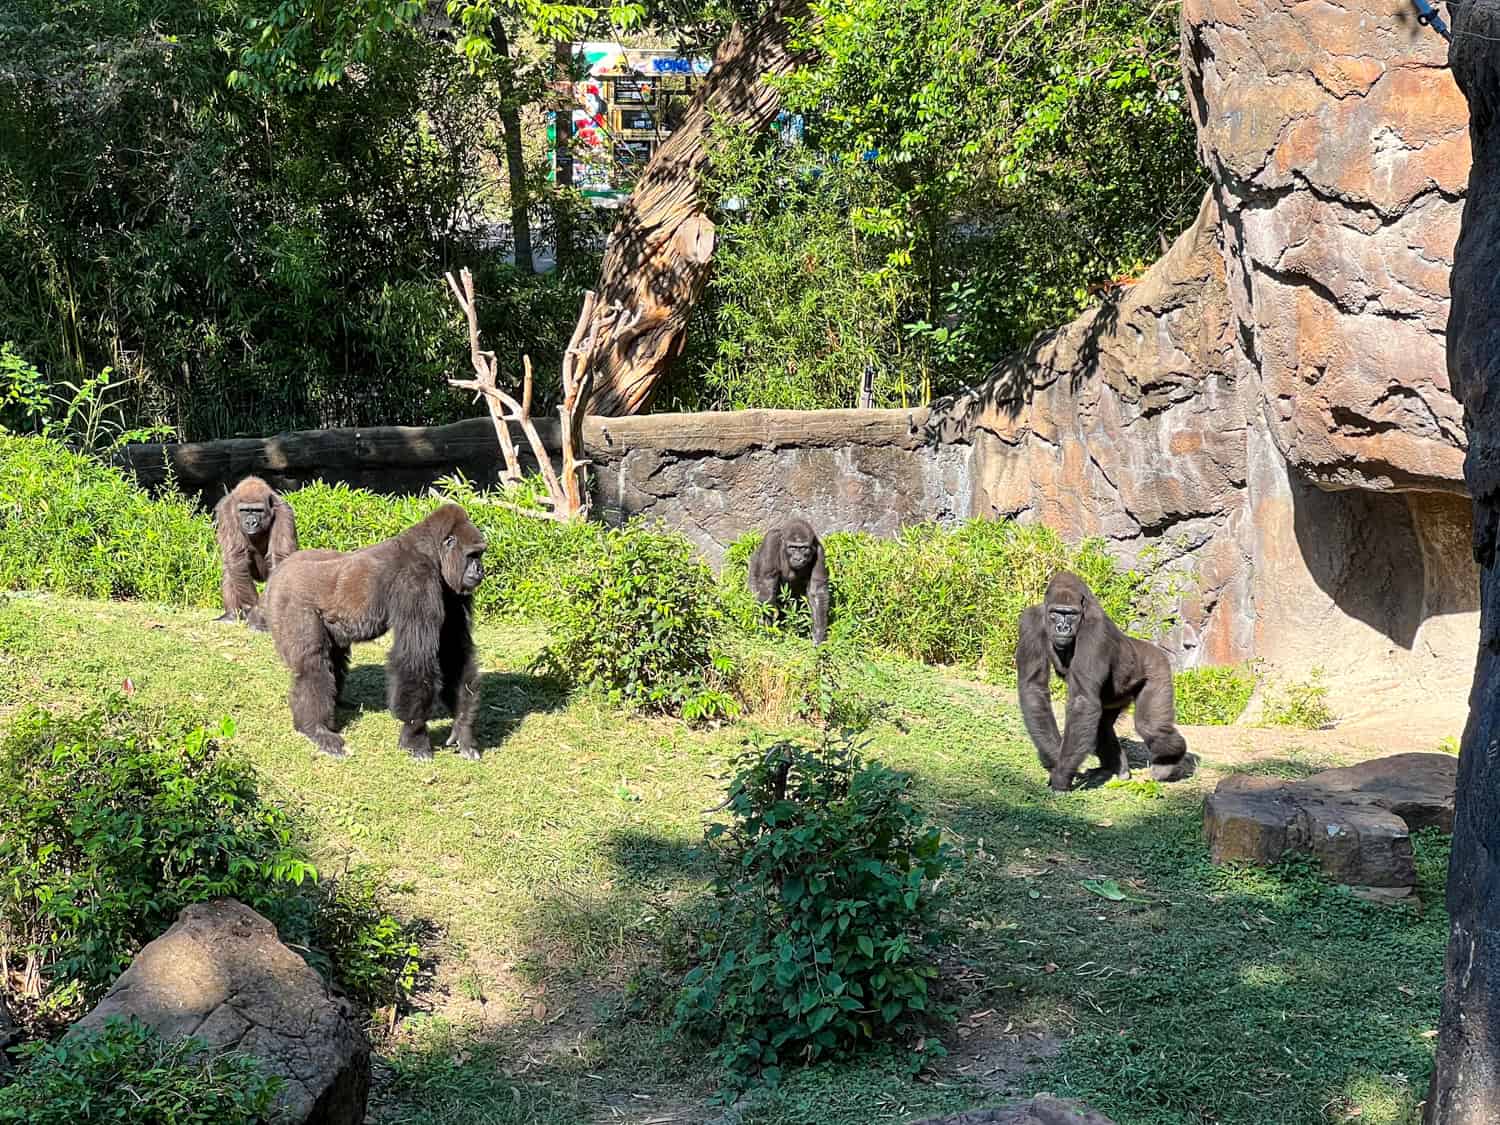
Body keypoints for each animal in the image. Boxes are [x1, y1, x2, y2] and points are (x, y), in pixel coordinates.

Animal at [213, 477, 297, 636]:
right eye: (245, 510)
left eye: (258, 510)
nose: (251, 522)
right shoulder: (226, 510)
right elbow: (236, 557)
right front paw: (254, 612)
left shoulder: (284, 512)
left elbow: (278, 557)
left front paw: (258, 616)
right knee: (231, 570)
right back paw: (231, 615)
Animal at [264, 504, 486, 762]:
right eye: (472, 555)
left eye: (480, 554)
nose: (480, 569)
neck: (431, 550)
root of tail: (282, 566)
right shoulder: (416, 581)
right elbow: (415, 658)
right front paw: (415, 735)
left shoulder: (452, 592)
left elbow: (454, 652)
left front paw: (463, 728)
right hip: (287, 600)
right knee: (312, 662)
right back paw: (316, 728)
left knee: (332, 658)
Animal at [1014, 573, 1188, 792]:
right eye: (1056, 612)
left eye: (1071, 614)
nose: (1063, 627)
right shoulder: (1030, 622)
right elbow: (1033, 688)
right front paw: (1055, 758)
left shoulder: (1094, 632)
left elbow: (1082, 700)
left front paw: (1061, 775)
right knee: (1102, 727)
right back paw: (1116, 770)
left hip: (1158, 667)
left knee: (1150, 727)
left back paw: (1170, 761)